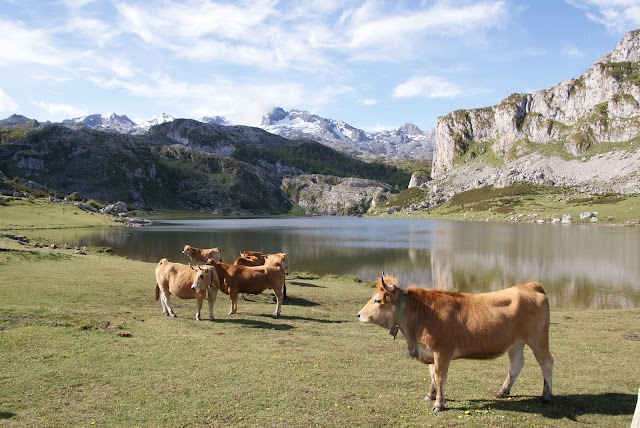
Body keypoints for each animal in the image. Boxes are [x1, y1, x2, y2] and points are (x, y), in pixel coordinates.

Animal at [358, 276, 552, 412]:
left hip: (538, 339)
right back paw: (502, 392)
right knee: (516, 366)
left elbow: (439, 377)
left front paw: (439, 404)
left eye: (377, 300)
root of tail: (528, 285)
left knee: (546, 363)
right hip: (515, 343)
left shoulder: (442, 351)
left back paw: (546, 395)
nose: (359, 314)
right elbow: (432, 375)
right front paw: (430, 395)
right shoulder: (430, 351)